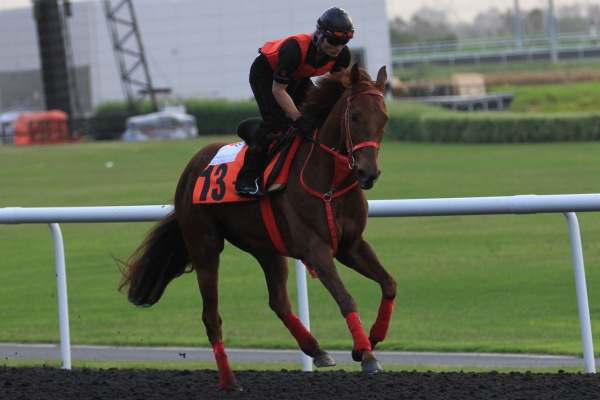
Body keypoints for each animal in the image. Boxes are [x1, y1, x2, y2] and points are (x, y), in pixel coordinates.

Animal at [119, 65, 396, 390]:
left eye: (384, 118)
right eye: (354, 116)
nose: (368, 173)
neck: (330, 181)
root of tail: (192, 166)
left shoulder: (351, 245)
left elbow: (389, 283)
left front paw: (370, 341)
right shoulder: (316, 249)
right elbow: (345, 298)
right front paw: (366, 355)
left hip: (267, 248)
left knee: (278, 302)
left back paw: (316, 350)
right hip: (204, 247)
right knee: (211, 317)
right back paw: (229, 380)